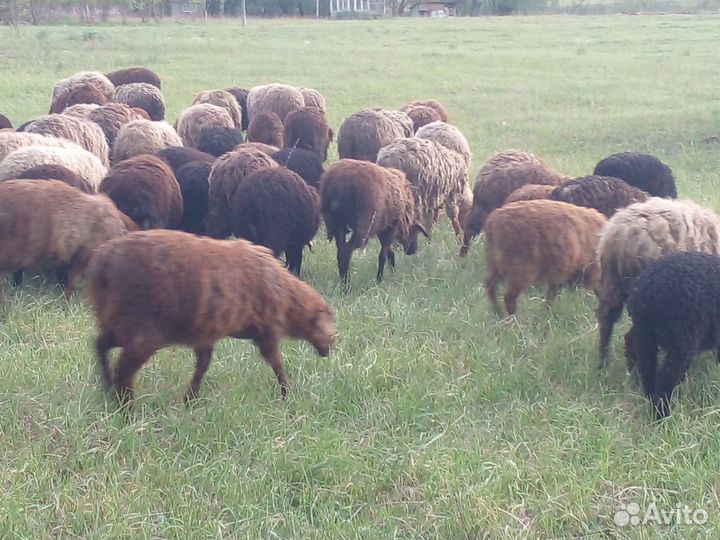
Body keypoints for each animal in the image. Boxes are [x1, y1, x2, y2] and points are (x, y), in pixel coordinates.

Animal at [88, 229, 336, 405]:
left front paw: (190, 399)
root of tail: (104, 261)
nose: (329, 350)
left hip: (118, 321)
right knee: (123, 371)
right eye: (329, 329)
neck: (287, 296)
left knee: (100, 344)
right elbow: (276, 363)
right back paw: (126, 409)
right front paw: (286, 393)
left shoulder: (206, 334)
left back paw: (107, 388)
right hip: (143, 329)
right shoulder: (267, 330)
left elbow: (203, 365)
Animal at [596, 198, 720, 366]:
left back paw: (603, 365)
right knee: (633, 338)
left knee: (606, 322)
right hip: (648, 301)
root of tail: (622, 234)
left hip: (612, 283)